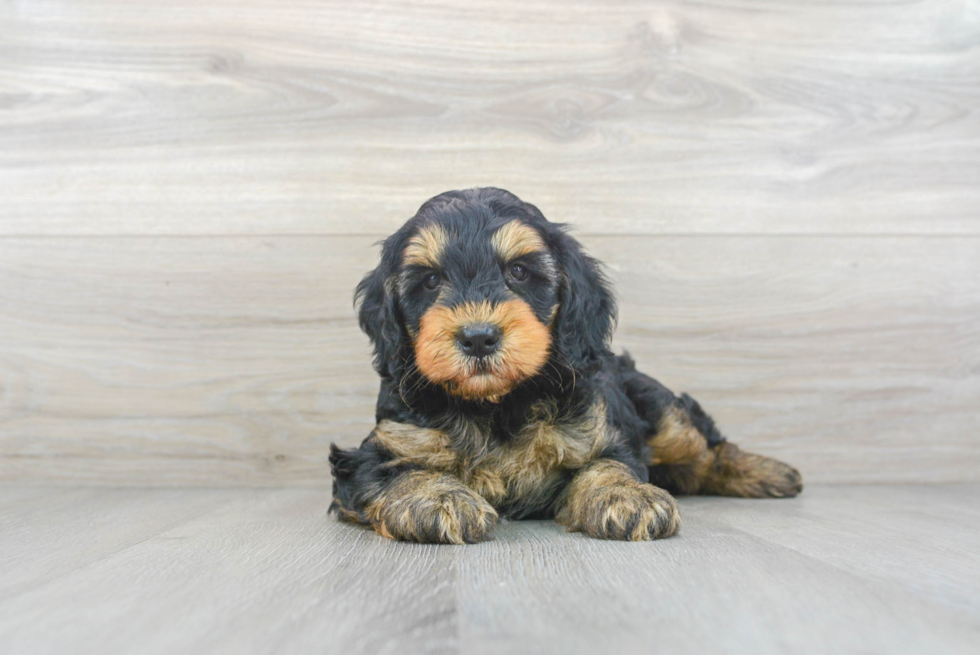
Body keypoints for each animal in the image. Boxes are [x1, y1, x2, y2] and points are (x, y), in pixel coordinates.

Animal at [330, 188, 804, 544]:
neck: (496, 403)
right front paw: (437, 499)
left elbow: (609, 463)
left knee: (703, 445)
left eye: (519, 272)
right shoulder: (380, 448)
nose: (478, 337)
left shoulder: (600, 431)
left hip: (658, 409)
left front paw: (628, 497)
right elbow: (398, 471)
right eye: (429, 281)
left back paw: (770, 472)